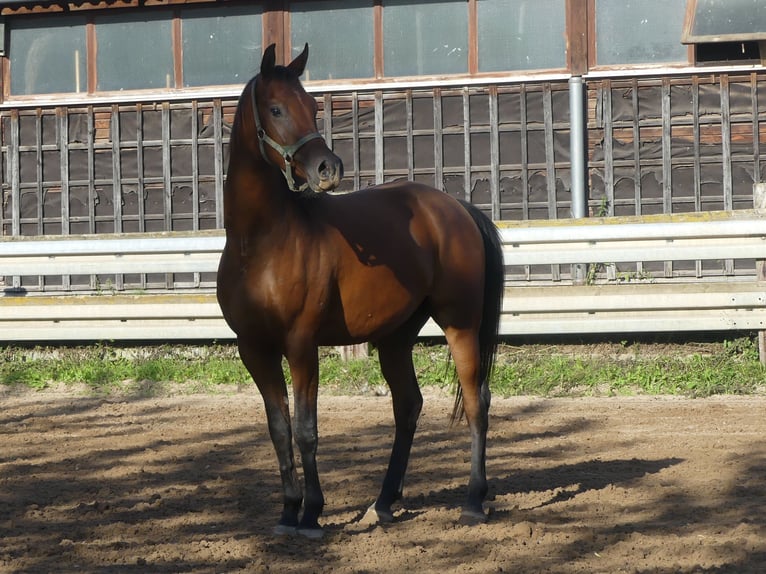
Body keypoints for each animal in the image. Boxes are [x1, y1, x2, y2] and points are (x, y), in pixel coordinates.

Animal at [216, 43, 504, 538]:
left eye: (312, 105)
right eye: (276, 108)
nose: (328, 168)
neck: (260, 243)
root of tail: (456, 207)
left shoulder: (300, 344)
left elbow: (306, 428)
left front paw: (312, 513)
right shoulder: (254, 349)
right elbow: (279, 429)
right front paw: (288, 512)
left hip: (460, 324)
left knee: (475, 401)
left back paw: (472, 500)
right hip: (395, 338)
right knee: (408, 406)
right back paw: (383, 503)